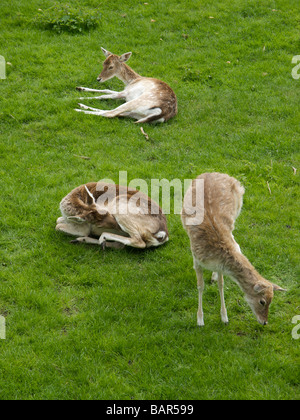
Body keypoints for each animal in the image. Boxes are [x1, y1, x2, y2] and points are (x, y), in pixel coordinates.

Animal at [180, 172, 286, 326]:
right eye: (262, 301)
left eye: (271, 301)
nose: (265, 322)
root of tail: (211, 173)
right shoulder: (196, 259)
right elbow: (200, 286)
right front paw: (200, 320)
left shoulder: (221, 264)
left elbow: (221, 284)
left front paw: (224, 317)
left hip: (238, 208)